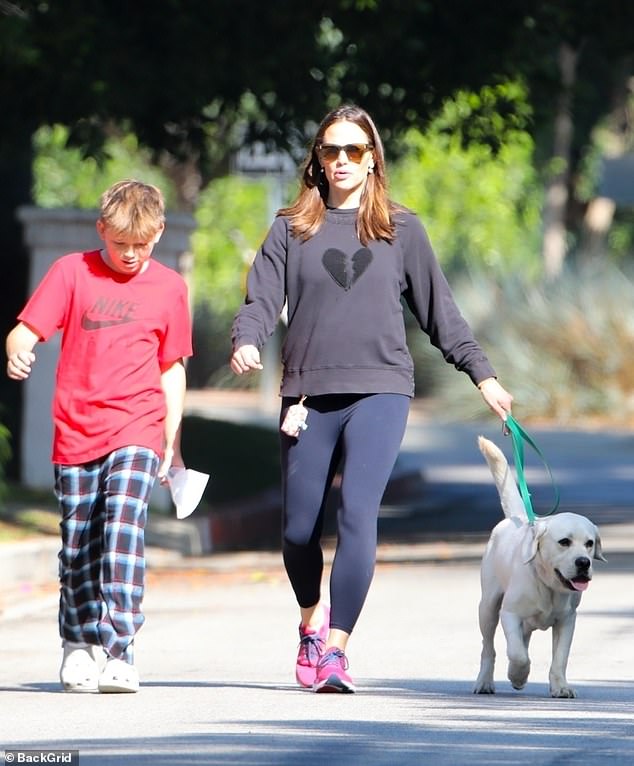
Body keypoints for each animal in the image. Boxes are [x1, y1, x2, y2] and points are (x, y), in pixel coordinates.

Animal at [474, 436, 604, 700]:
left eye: (589, 543)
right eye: (564, 542)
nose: (583, 562)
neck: (548, 586)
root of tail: (518, 519)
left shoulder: (567, 621)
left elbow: (560, 658)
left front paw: (560, 686)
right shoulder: (509, 613)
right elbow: (518, 654)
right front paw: (517, 675)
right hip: (488, 608)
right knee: (488, 648)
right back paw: (485, 681)